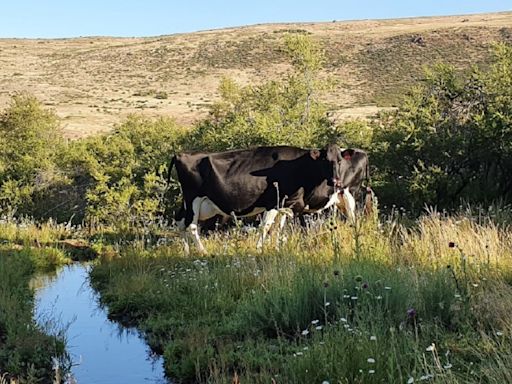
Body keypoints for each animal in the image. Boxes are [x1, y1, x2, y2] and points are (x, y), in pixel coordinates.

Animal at [170, 146, 370, 254]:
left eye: (339, 161)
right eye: (324, 160)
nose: (336, 181)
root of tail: (181, 155)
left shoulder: (284, 204)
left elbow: (277, 228)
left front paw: (276, 249)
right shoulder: (273, 202)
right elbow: (266, 227)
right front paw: (259, 249)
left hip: (347, 194)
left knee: (180, 221)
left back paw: (186, 252)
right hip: (194, 200)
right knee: (191, 225)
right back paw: (202, 252)